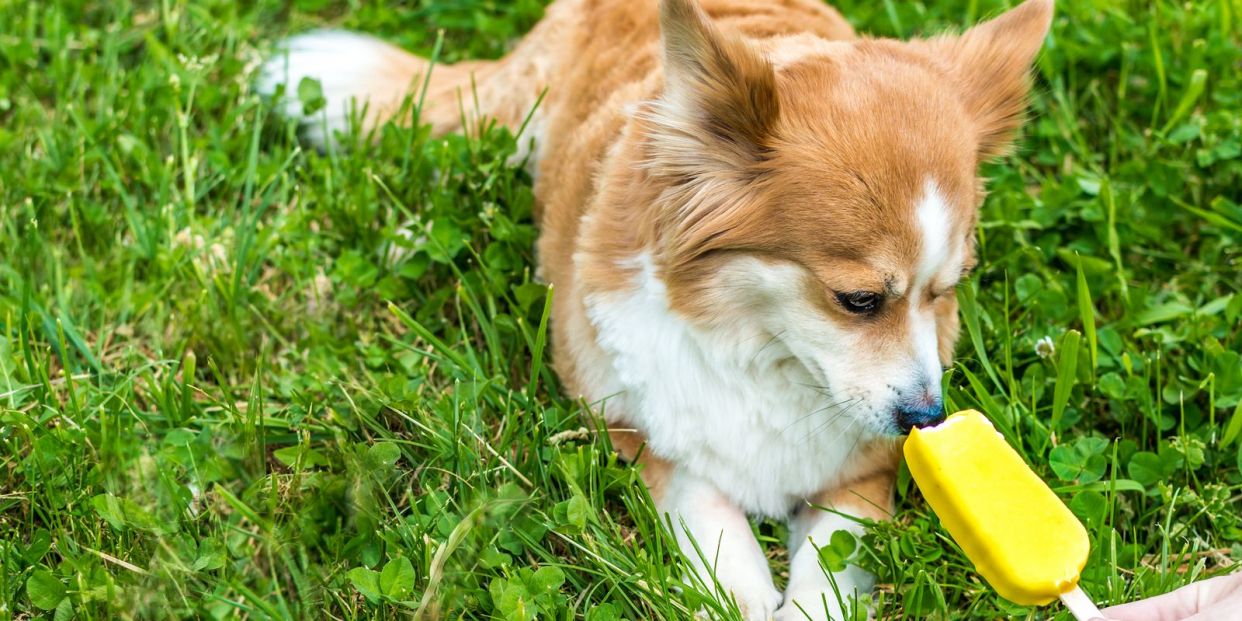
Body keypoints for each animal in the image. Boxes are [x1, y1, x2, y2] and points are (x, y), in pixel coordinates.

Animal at [259, 2, 1048, 618]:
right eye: (858, 300)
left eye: (947, 289)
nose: (925, 418)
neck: (762, 349)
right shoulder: (639, 426)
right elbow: (710, 515)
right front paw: (743, 594)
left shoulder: (863, 469)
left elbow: (835, 549)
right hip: (514, 126)